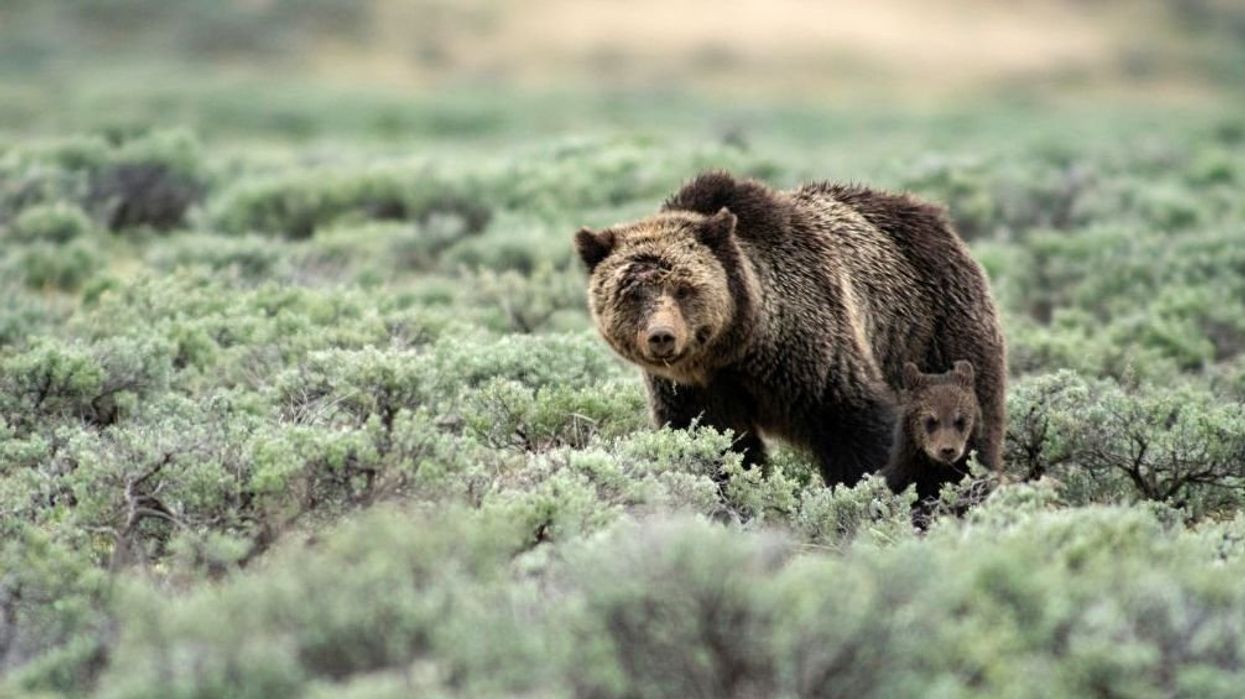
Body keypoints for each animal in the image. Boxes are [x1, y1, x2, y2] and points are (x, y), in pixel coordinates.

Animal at [574, 170, 1006, 486]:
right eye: (633, 291)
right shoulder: (696, 390)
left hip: (936, 326)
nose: (662, 336)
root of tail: (935, 214)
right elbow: (714, 444)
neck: (737, 347)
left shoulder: (811, 351)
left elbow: (858, 427)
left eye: (684, 288)